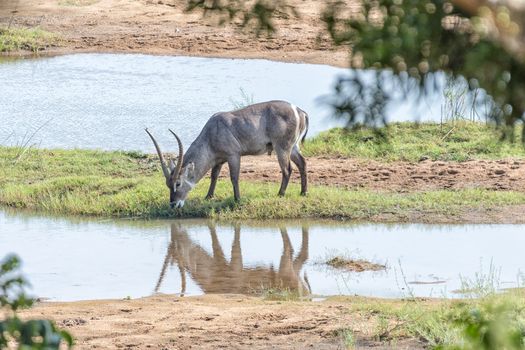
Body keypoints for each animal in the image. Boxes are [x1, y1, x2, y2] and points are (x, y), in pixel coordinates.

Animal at [144, 99, 308, 208]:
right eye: (167, 184)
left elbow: (234, 177)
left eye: (178, 183)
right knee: (302, 163)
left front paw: (237, 199)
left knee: (287, 169)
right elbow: (214, 176)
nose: (173, 204)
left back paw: (280, 194)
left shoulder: (233, 155)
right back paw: (303, 193)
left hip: (282, 147)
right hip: (293, 147)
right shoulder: (219, 160)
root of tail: (299, 110)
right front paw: (208, 196)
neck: (211, 132)